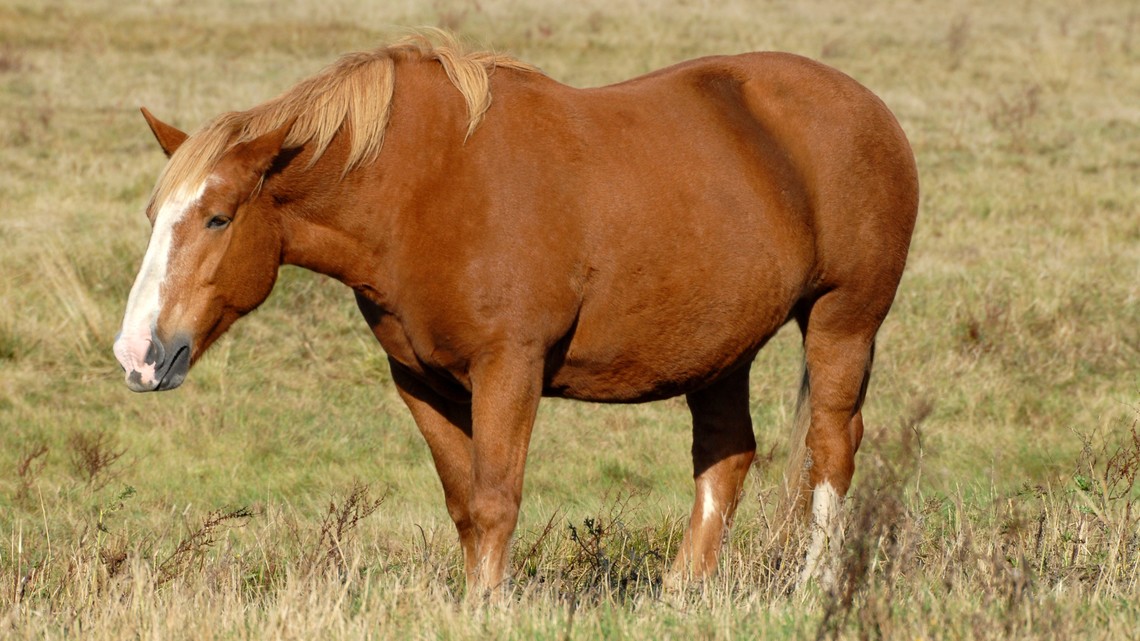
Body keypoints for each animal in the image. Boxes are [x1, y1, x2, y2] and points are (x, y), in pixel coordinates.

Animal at [113, 32, 916, 593]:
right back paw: (682, 591)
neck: (424, 190)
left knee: (831, 446)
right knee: (728, 455)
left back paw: (815, 584)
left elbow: (498, 498)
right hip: (722, 348)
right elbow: (465, 504)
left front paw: (488, 608)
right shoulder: (422, 382)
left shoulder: (510, 367)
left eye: (217, 218)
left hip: (844, 319)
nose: (137, 353)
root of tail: (873, 109)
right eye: (153, 215)